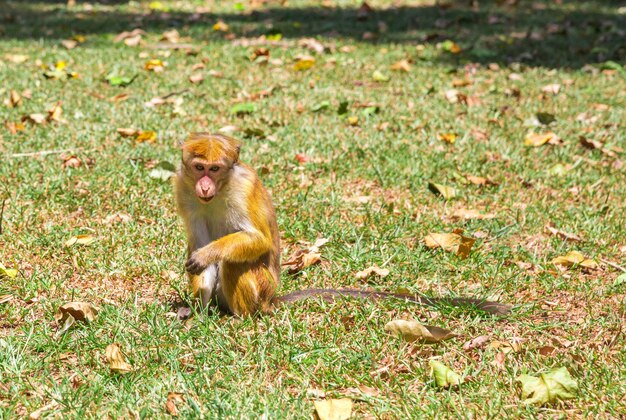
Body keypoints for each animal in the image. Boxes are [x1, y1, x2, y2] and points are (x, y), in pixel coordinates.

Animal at [173, 133, 510, 316]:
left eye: (215, 169)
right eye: (199, 168)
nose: (205, 185)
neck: (220, 190)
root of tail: (272, 299)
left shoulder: (243, 187)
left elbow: (258, 241)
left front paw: (207, 255)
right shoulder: (182, 188)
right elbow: (197, 241)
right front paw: (196, 311)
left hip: (263, 288)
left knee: (234, 261)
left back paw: (240, 318)